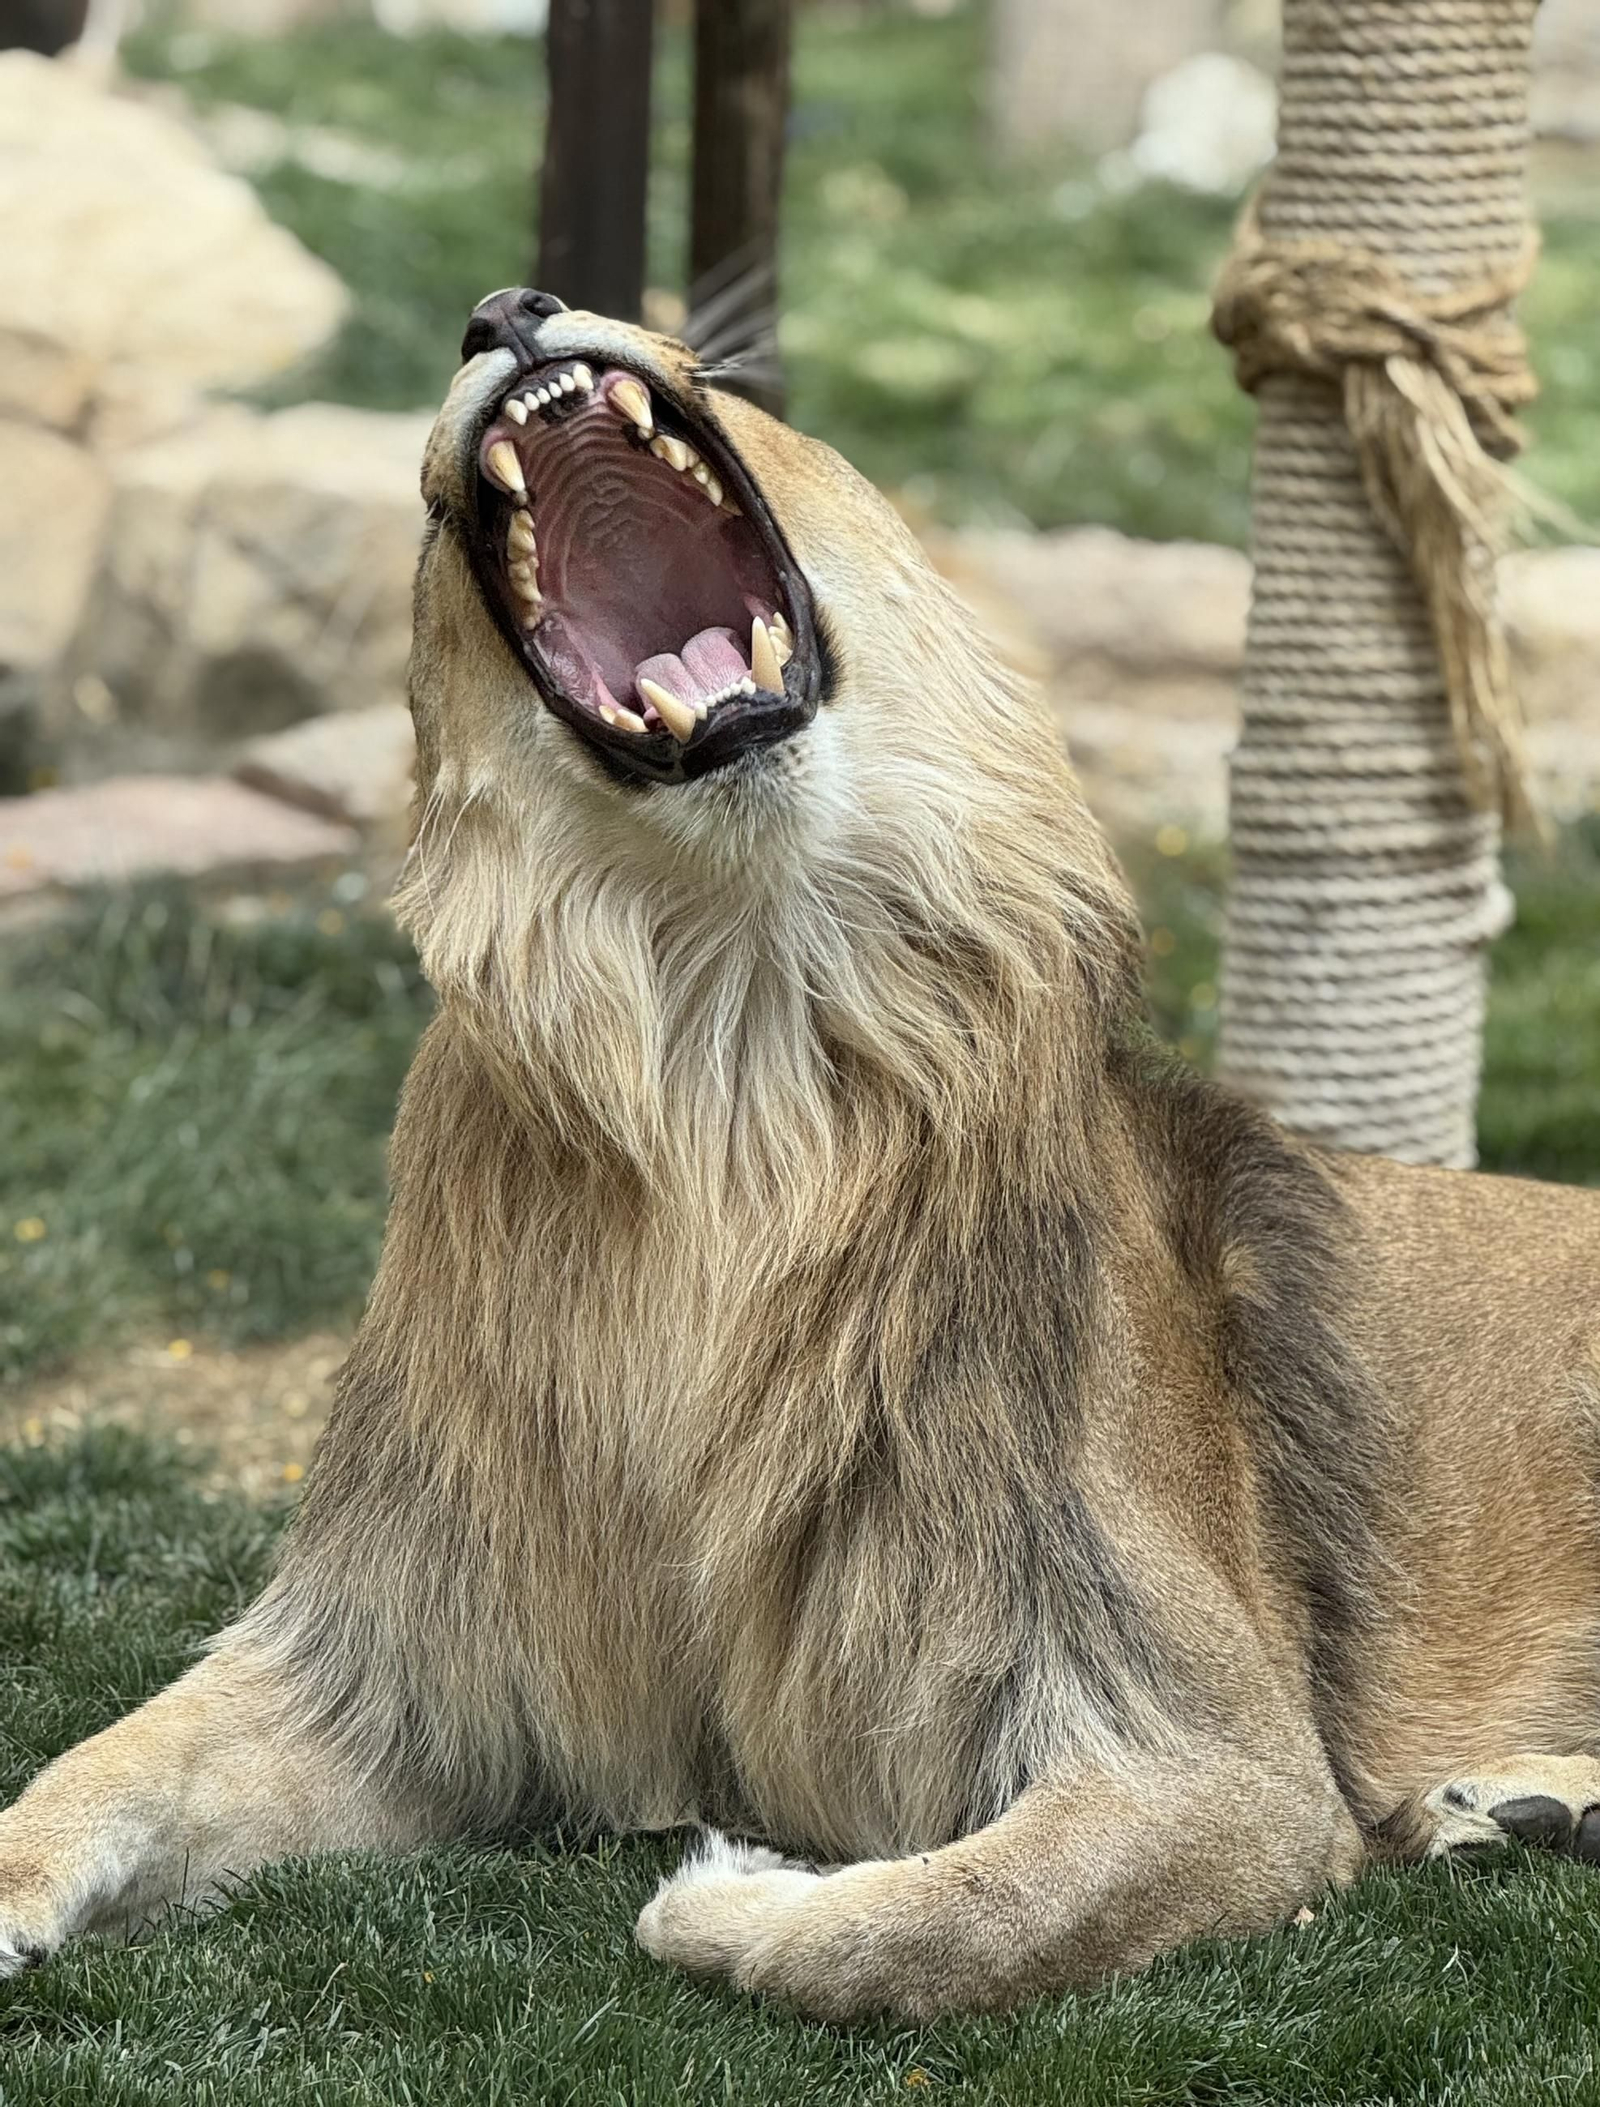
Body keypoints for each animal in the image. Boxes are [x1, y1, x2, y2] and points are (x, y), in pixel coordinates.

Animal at [3, 288, 1599, 2021]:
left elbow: (945, 1924)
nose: (506, 309)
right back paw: (1525, 1804)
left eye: (715, 368)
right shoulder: (399, 1654)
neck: (736, 1050)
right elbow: (99, 1759)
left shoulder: (1211, 1747)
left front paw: (731, 1886)